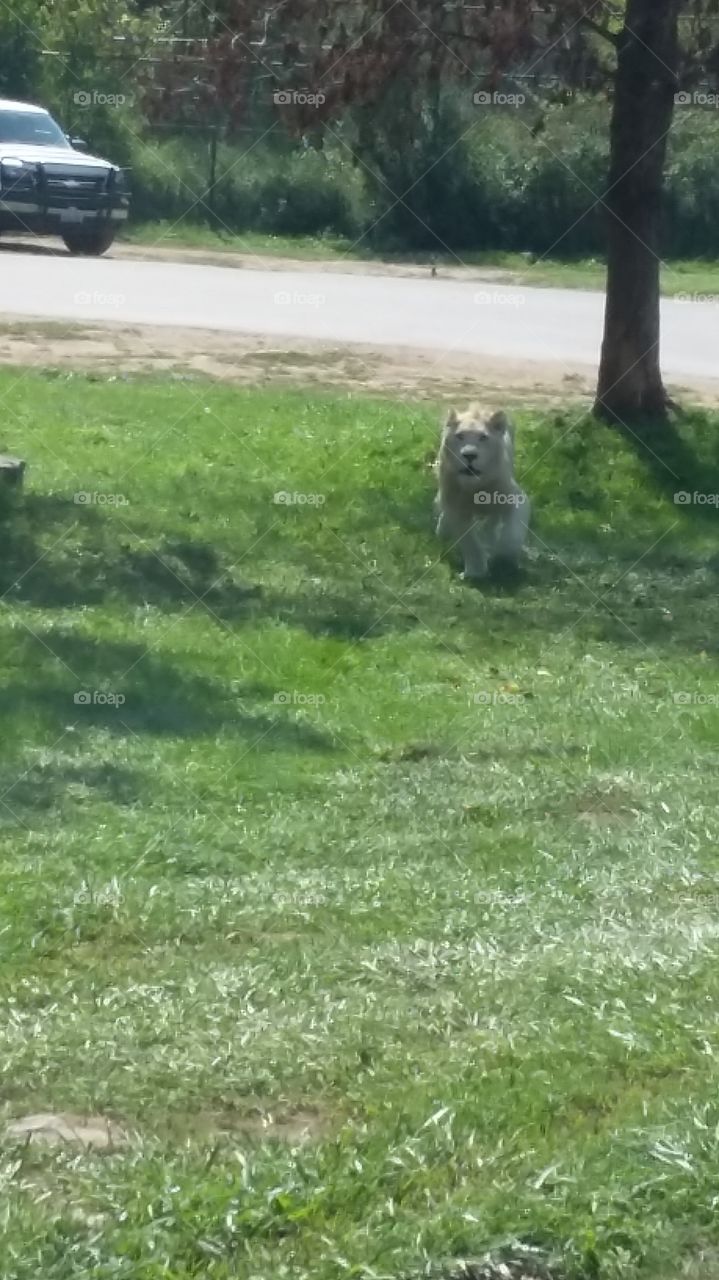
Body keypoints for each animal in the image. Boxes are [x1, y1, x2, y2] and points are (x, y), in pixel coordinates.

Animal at [429, 404, 527, 581]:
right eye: (460, 436)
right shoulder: (457, 511)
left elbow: (512, 535)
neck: (474, 487)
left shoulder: (517, 498)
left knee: (493, 521)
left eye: (483, 438)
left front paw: (504, 558)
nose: (469, 455)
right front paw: (475, 573)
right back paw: (443, 532)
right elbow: (470, 543)